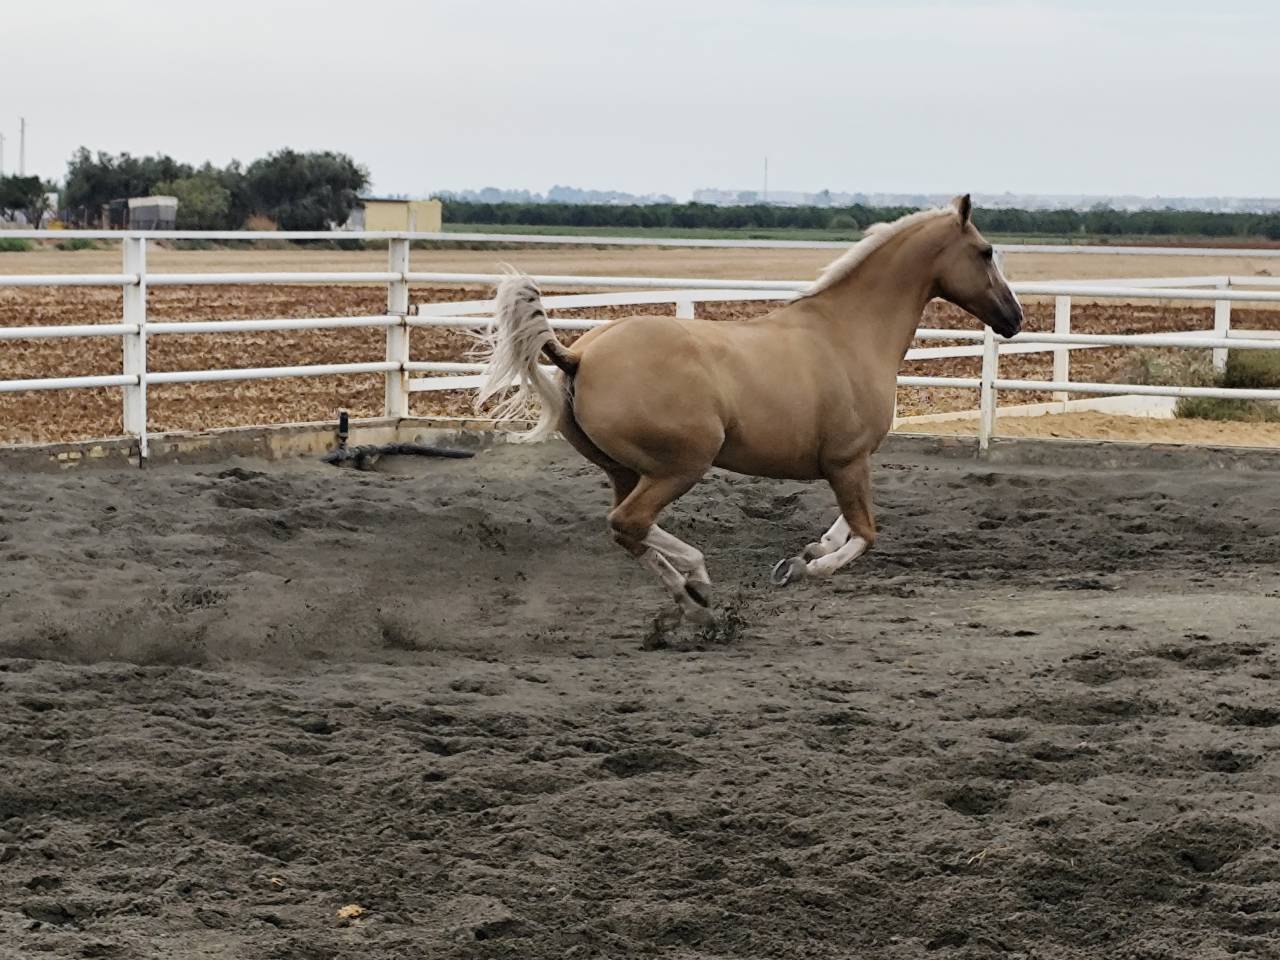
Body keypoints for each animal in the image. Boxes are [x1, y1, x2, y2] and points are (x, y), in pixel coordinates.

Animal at [475, 195, 1023, 626]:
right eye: (985, 252)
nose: (1014, 318)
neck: (849, 333)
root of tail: (578, 355)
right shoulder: (846, 460)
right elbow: (866, 532)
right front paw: (803, 568)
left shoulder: (853, 461)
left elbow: (850, 522)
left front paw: (812, 549)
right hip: (682, 465)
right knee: (629, 523)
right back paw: (697, 581)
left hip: (626, 471)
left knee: (628, 530)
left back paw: (692, 597)